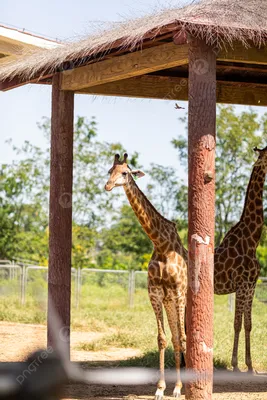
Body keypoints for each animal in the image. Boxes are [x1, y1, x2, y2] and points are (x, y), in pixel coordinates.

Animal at [105, 152, 188, 396]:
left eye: (125, 172)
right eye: (109, 171)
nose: (108, 185)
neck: (161, 244)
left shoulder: (178, 291)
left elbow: (182, 338)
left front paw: (177, 389)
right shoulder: (155, 293)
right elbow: (162, 339)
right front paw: (160, 389)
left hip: (182, 299)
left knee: (183, 337)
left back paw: (181, 386)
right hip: (169, 302)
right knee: (175, 338)